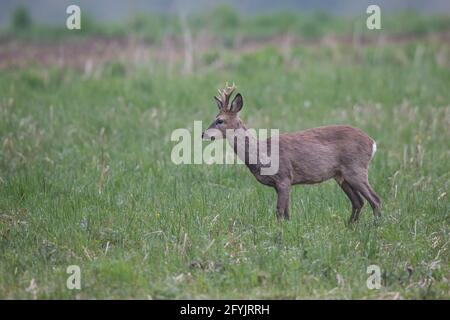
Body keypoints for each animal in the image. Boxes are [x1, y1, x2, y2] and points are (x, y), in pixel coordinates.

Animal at [202, 84, 382, 224]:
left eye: (220, 120)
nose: (203, 134)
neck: (262, 154)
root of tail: (372, 143)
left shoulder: (284, 177)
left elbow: (279, 211)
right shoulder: (283, 184)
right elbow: (287, 213)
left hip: (356, 168)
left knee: (375, 199)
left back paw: (376, 226)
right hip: (340, 175)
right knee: (358, 201)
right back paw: (350, 226)